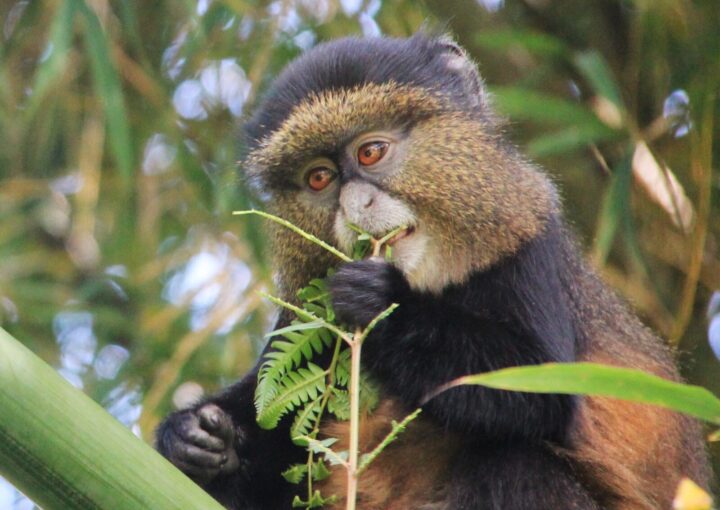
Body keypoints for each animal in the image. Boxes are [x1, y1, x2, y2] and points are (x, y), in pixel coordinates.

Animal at [156, 33, 710, 509]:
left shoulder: (530, 246)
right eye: (318, 179)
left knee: (516, 462)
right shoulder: (302, 310)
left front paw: (380, 302)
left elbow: (540, 387)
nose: (354, 206)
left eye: (371, 152)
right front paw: (194, 438)